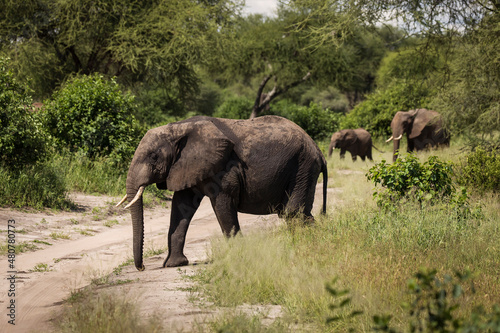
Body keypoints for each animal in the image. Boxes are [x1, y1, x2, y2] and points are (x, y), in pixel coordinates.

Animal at [117, 115, 328, 272]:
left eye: (153, 157)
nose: (142, 267)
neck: (178, 128)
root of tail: (319, 151)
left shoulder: (225, 169)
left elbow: (222, 204)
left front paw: (238, 256)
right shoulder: (185, 166)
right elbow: (181, 207)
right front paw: (174, 265)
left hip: (303, 166)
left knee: (293, 213)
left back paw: (306, 246)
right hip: (302, 169)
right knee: (295, 214)